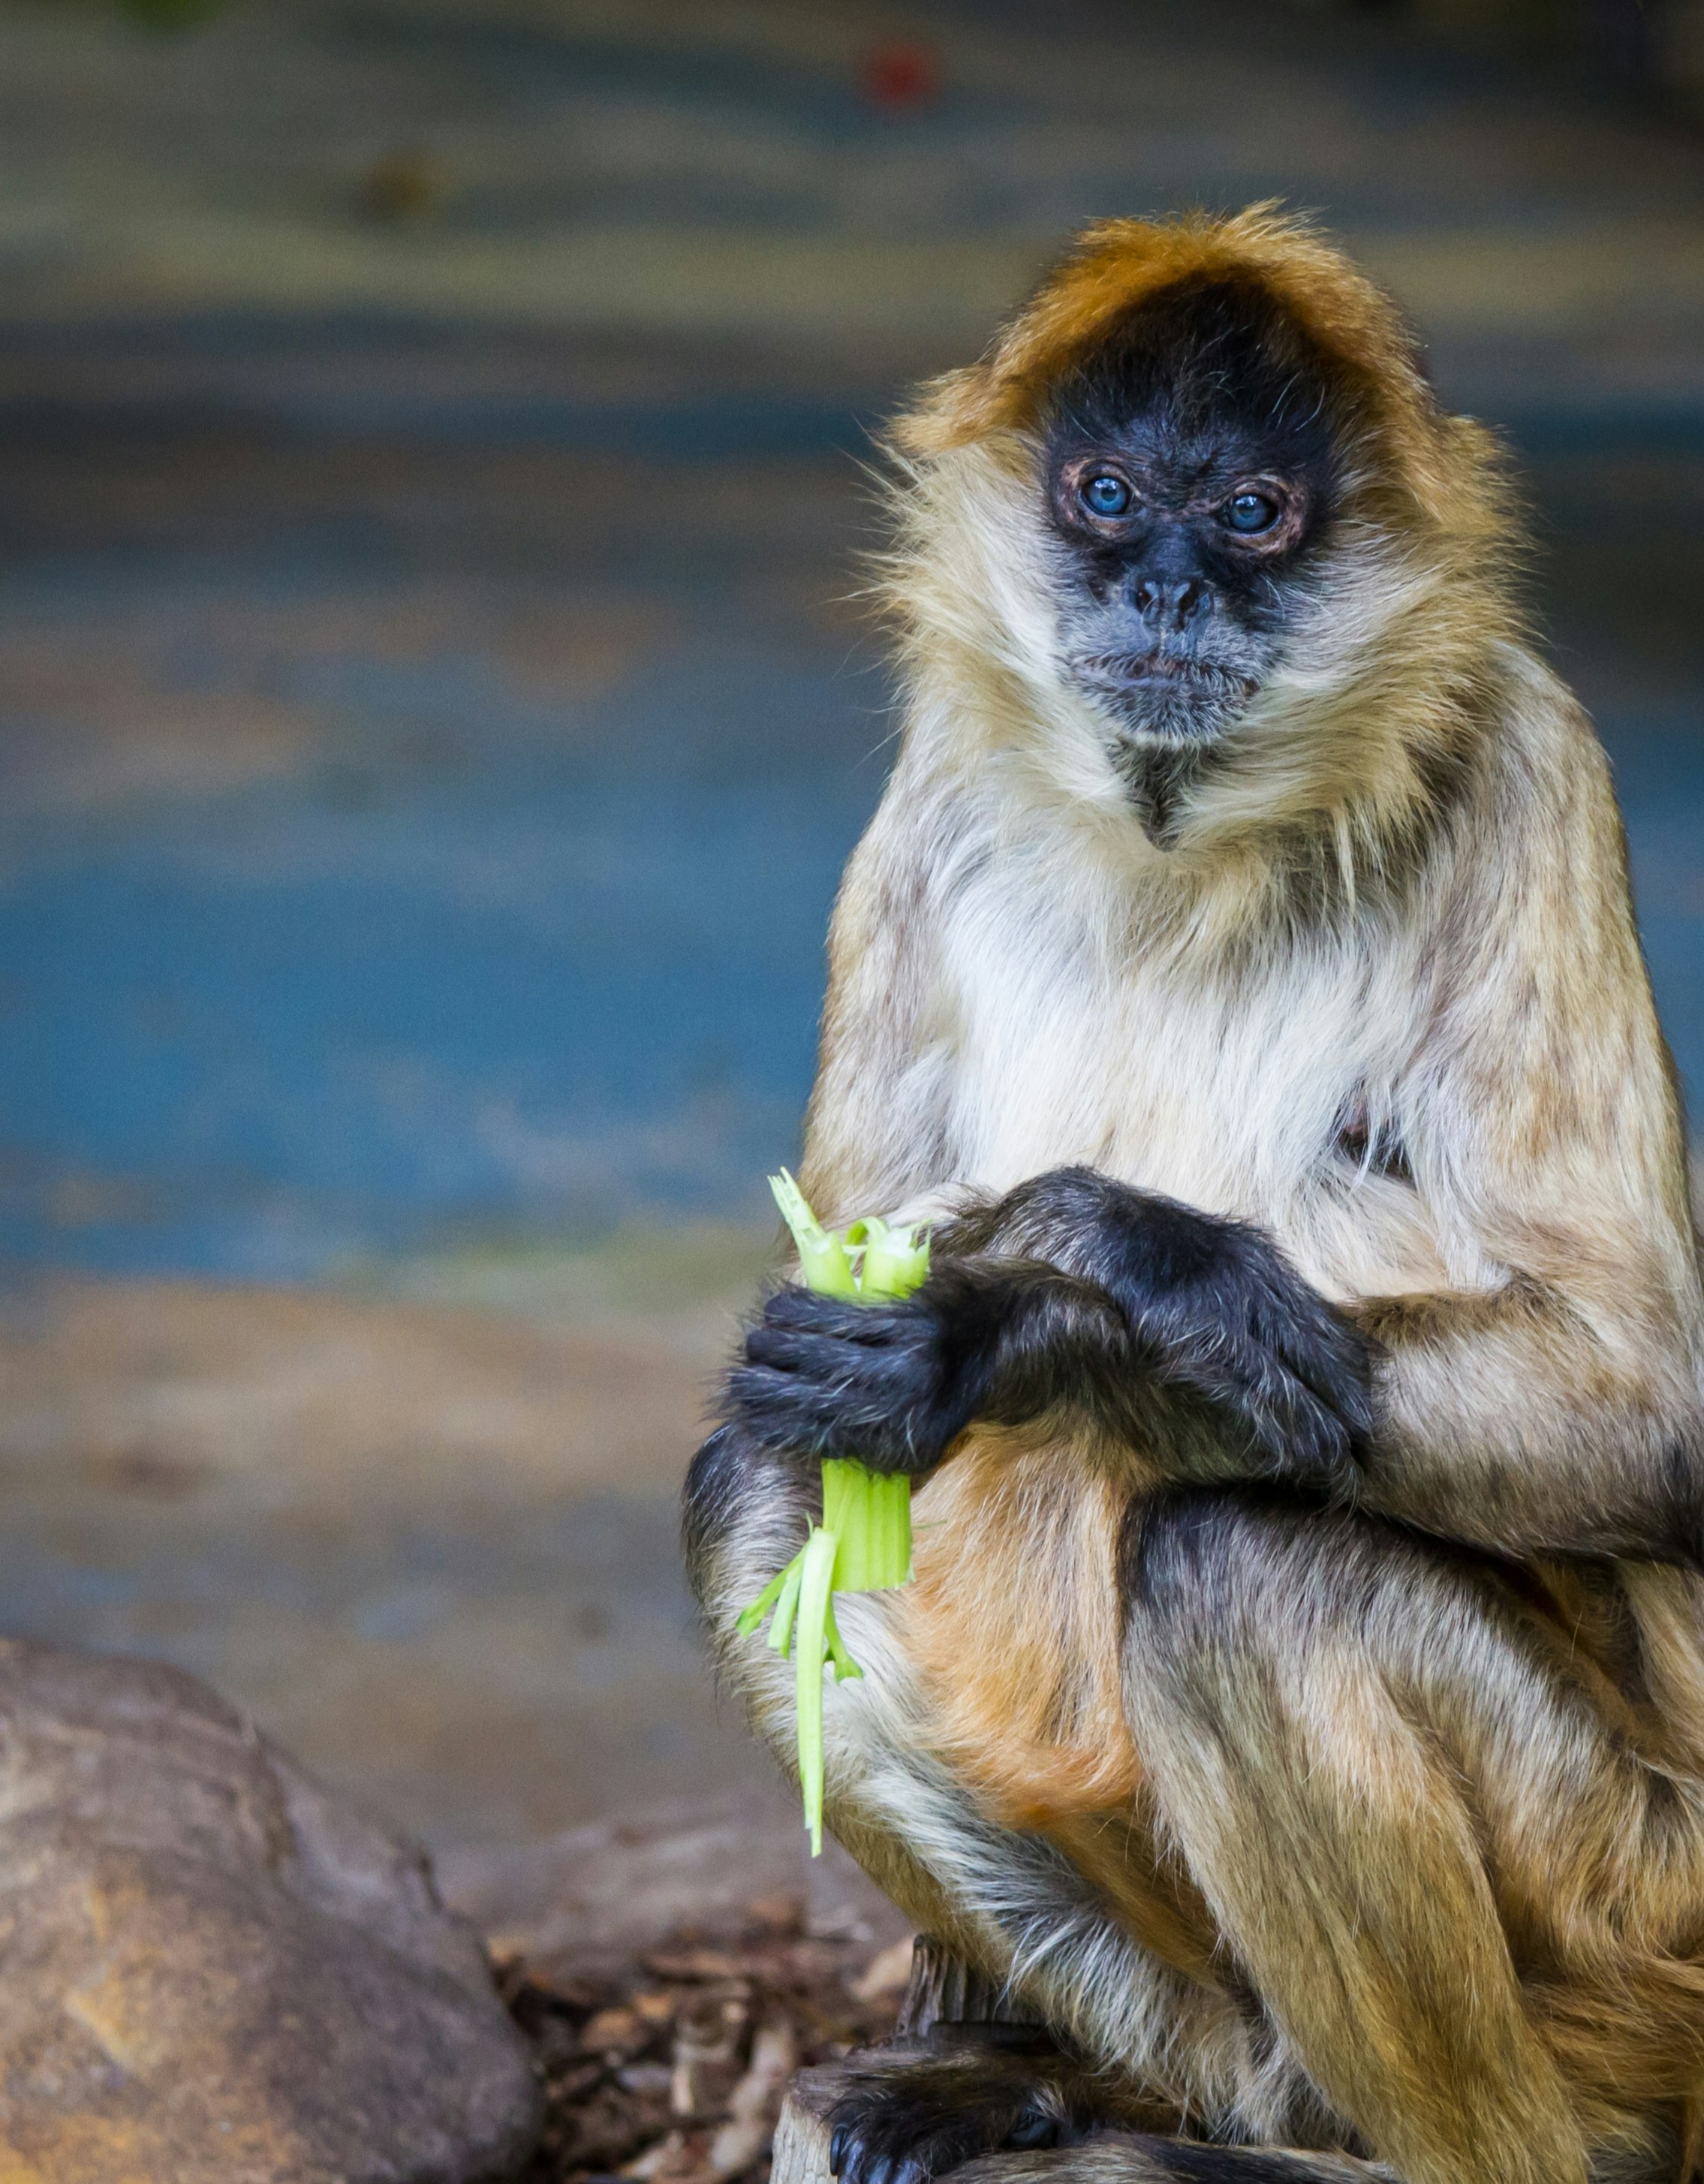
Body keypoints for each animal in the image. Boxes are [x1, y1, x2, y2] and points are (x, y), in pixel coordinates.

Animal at [685, 205, 1704, 2184]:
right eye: (1105, 493)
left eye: (1249, 512)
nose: (1163, 587)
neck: (1181, 848)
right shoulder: (926, 808)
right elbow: (813, 1401)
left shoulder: (1528, 749)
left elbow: (1656, 1404)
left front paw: (1072, 1305)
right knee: (761, 1484)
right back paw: (1085, 2079)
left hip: (1632, 1903)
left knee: (1238, 1559)